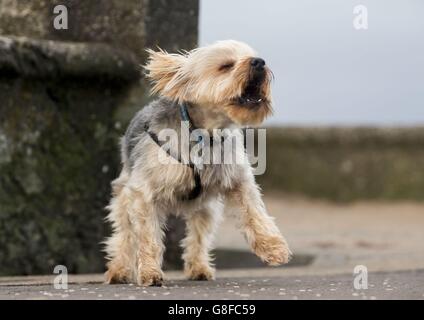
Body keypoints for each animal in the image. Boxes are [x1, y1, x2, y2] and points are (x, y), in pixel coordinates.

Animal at [105, 40, 292, 288]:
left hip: (205, 209)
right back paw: (119, 270)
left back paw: (199, 268)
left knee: (199, 236)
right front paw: (150, 273)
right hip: (123, 195)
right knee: (124, 234)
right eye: (226, 66)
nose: (259, 62)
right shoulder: (144, 193)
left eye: (255, 57)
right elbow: (147, 236)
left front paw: (273, 247)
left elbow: (255, 214)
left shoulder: (237, 181)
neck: (205, 133)